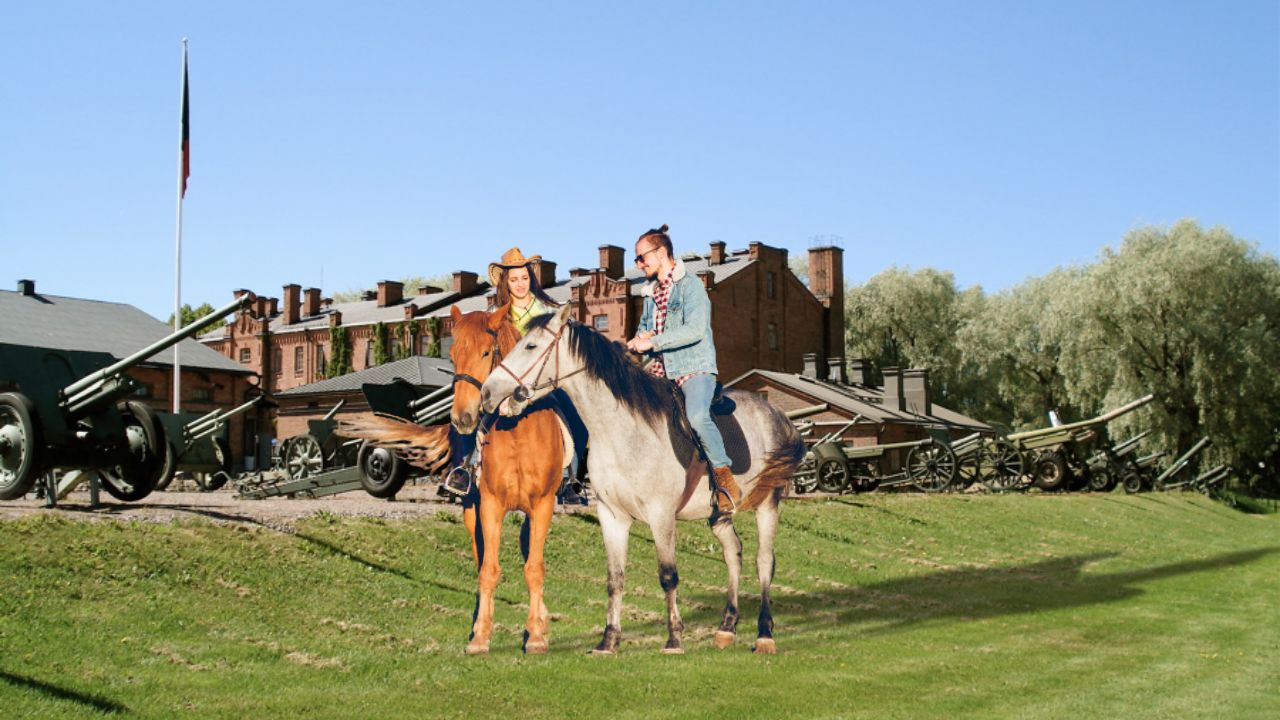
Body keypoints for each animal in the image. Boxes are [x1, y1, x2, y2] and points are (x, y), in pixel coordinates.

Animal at [340, 304, 565, 653]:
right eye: (452, 355)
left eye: (486, 352)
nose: (462, 417)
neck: (517, 433)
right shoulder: (488, 506)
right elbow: (488, 569)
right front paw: (481, 636)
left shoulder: (542, 505)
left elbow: (534, 568)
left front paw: (537, 636)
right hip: (472, 510)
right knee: (481, 559)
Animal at [481, 302, 798, 650]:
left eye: (531, 346)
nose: (487, 391)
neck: (623, 431)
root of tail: (777, 415)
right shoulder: (612, 516)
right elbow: (615, 578)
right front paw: (608, 640)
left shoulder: (662, 515)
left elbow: (668, 575)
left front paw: (674, 638)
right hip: (718, 513)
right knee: (733, 553)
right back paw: (727, 627)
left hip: (768, 504)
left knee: (764, 561)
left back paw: (765, 633)